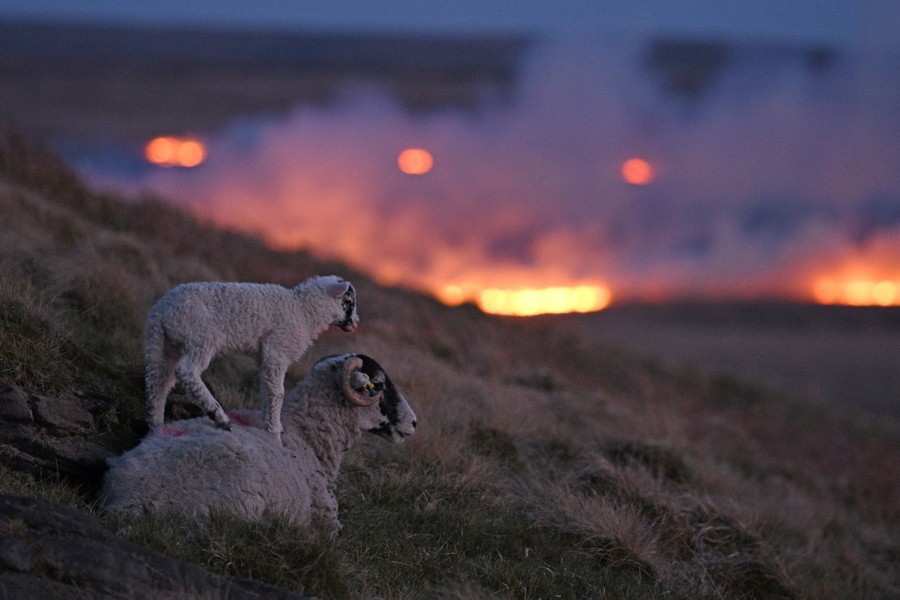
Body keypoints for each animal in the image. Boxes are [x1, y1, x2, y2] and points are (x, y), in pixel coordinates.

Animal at [144, 275, 359, 441]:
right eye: (349, 301)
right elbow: (278, 393)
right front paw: (275, 435)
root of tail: (161, 311)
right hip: (201, 336)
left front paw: (268, 427)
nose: (356, 322)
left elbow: (267, 390)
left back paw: (157, 429)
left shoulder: (266, 358)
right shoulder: (276, 350)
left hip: (163, 346)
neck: (303, 311)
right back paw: (218, 415)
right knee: (186, 371)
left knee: (158, 386)